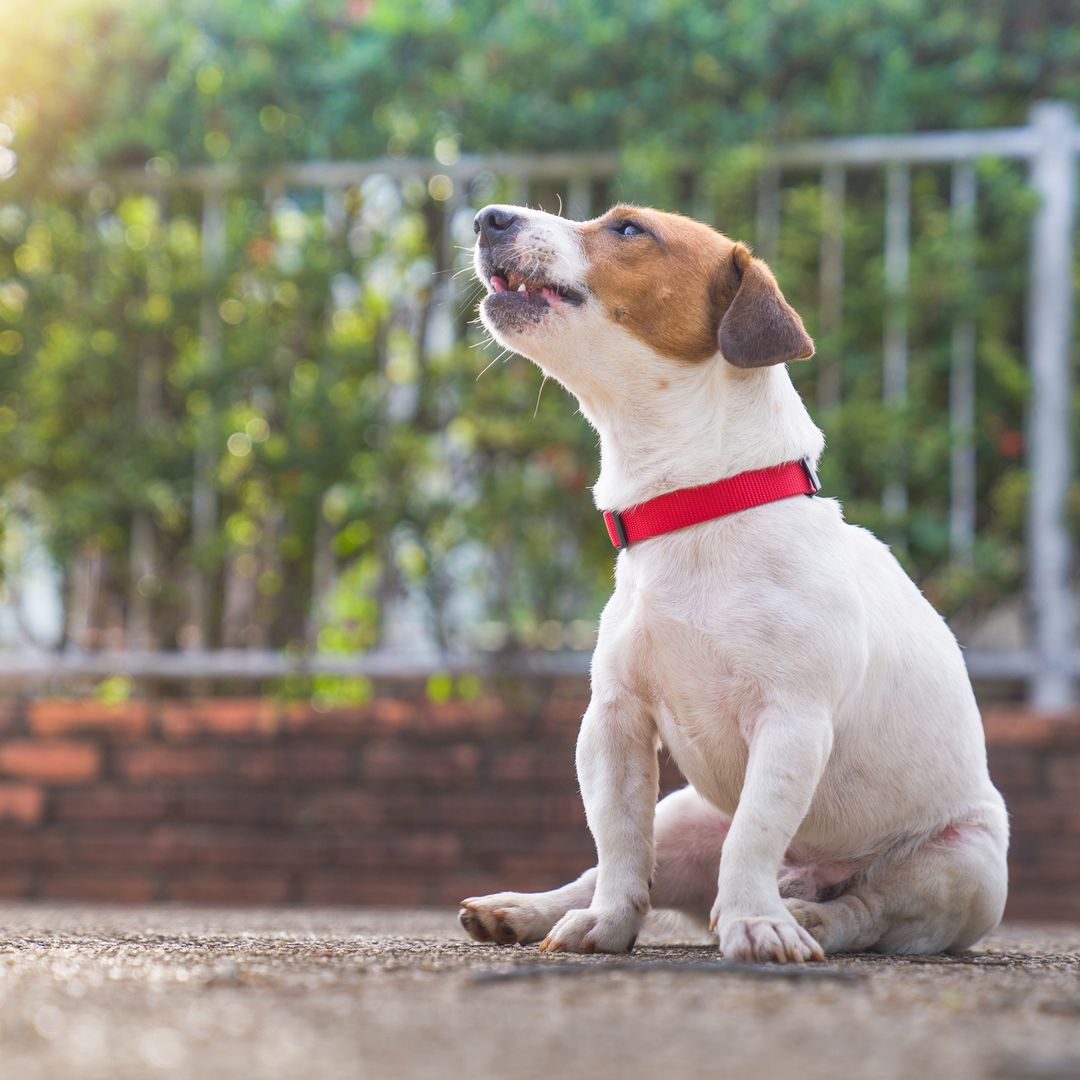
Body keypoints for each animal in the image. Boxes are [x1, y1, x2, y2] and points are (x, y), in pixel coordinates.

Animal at [457, 203, 1010, 963]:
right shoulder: (613, 719)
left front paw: (755, 922)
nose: (489, 215)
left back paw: (805, 916)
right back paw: (524, 909)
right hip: (684, 814)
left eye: (628, 229)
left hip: (961, 865)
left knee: (867, 910)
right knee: (623, 865)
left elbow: (754, 834)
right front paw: (606, 923)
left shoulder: (792, 722)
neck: (696, 509)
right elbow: (618, 841)